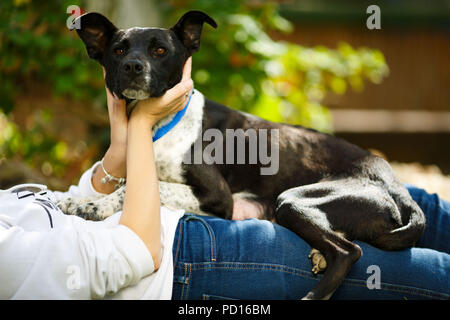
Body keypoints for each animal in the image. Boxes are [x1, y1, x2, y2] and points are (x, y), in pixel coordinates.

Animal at [59, 10, 426, 300]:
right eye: (118, 49)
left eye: (160, 50)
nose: (132, 66)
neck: (156, 127)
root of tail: (394, 182)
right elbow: (125, 184)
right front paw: (84, 200)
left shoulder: (218, 196)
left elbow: (133, 189)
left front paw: (89, 206)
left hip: (293, 199)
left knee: (350, 252)